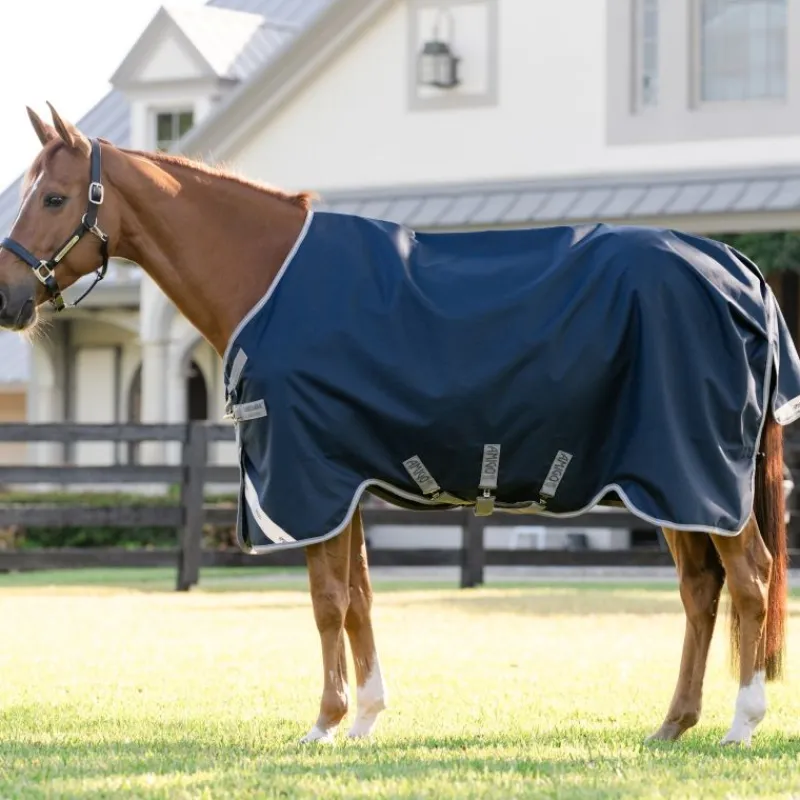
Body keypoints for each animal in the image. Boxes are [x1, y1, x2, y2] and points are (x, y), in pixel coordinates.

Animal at [0, 103, 794, 747]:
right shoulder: (344, 484)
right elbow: (358, 600)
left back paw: (742, 724)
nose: (9, 300)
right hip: (673, 487)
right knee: (701, 590)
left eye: (55, 196)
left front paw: (324, 724)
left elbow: (327, 602)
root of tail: (739, 268)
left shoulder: (310, 480)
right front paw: (366, 718)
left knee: (750, 579)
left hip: (696, 477)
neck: (268, 276)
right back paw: (673, 723)